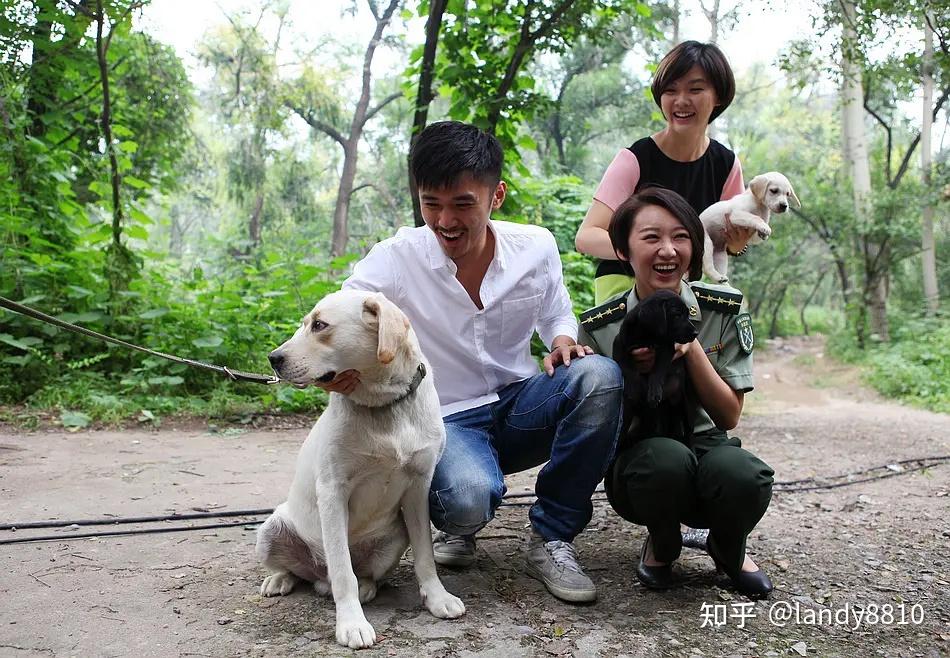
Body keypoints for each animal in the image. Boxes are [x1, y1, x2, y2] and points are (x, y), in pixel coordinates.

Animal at [258, 290, 466, 648]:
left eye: (319, 325)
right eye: (306, 323)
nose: (274, 358)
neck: (383, 404)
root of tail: (319, 577)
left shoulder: (419, 489)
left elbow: (425, 556)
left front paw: (437, 598)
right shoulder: (332, 491)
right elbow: (343, 572)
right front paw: (352, 623)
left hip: (395, 536)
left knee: (362, 575)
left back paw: (368, 585)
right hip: (269, 531)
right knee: (304, 571)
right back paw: (280, 579)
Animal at [616, 290, 700, 444]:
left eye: (687, 314)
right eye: (677, 315)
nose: (695, 333)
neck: (647, 335)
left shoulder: (667, 348)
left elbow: (658, 370)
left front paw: (654, 391)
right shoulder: (620, 342)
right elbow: (627, 367)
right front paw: (633, 387)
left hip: (685, 408)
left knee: (689, 434)